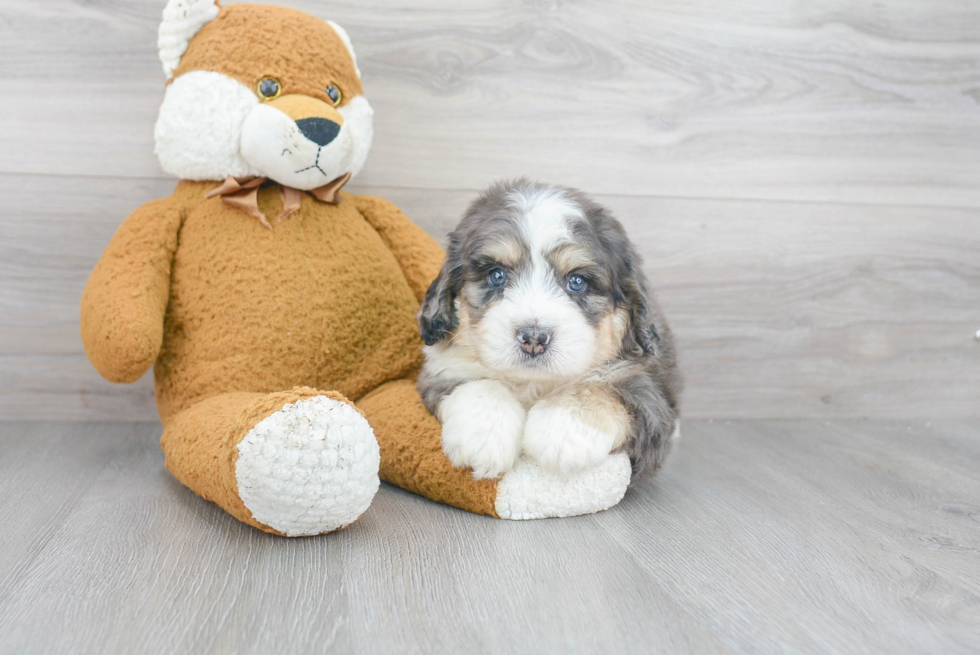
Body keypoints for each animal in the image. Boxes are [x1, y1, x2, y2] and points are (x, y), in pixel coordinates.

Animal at [416, 179, 680, 482]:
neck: (534, 383)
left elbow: (601, 389)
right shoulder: (443, 367)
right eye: (496, 276)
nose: (533, 338)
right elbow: (478, 383)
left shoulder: (649, 393)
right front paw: (484, 435)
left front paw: (562, 431)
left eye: (577, 281)